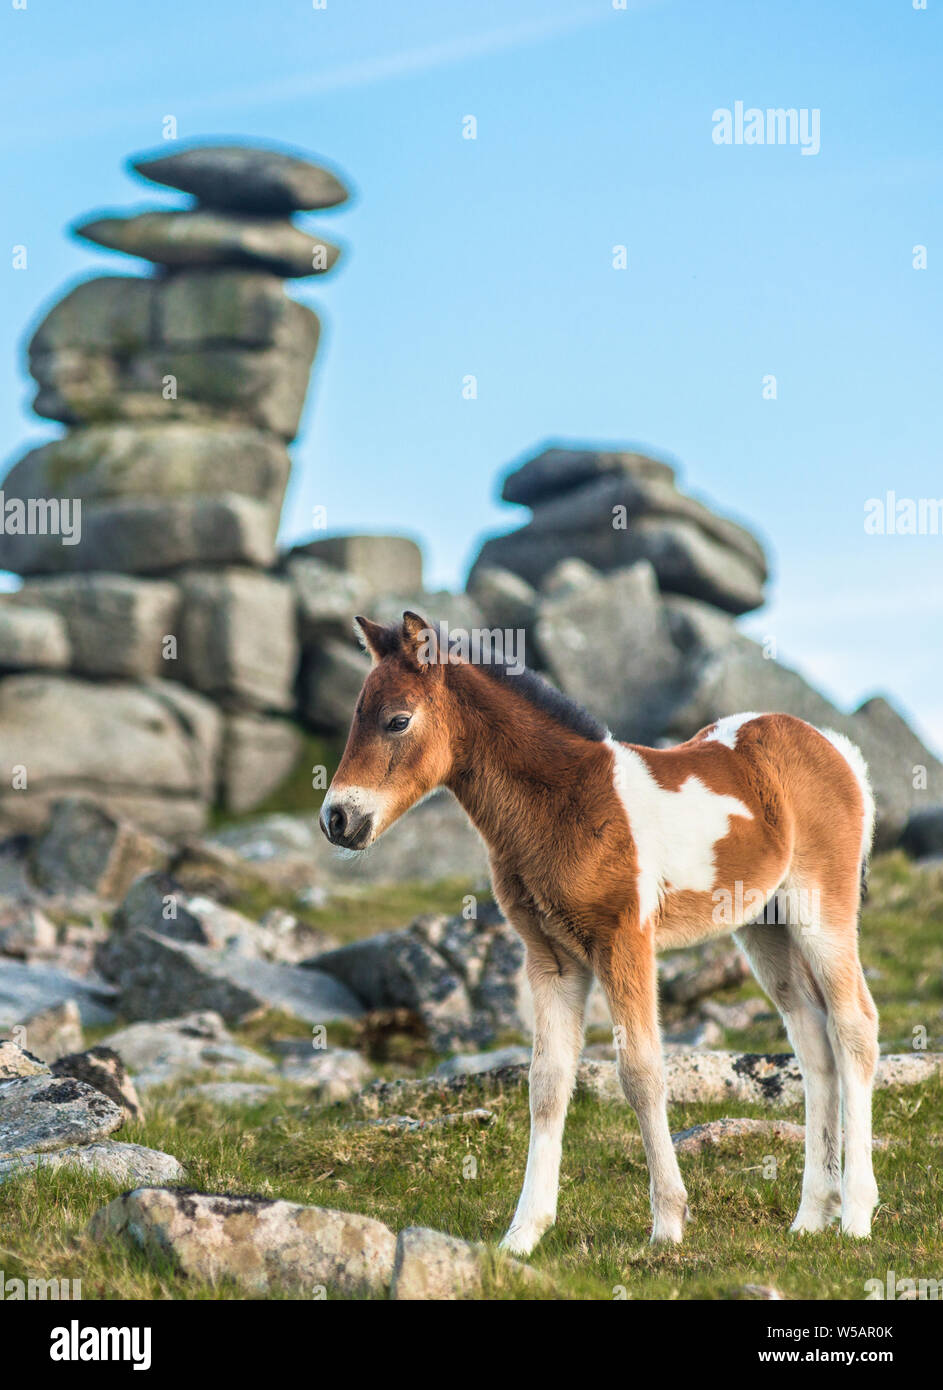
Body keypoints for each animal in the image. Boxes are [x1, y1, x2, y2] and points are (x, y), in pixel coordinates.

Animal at [319, 610, 879, 1256]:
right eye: (356, 715)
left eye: (397, 720)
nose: (337, 819)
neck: (567, 799)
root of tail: (837, 750)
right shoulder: (552, 959)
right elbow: (547, 1083)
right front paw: (523, 1235)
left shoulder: (623, 942)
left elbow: (640, 1073)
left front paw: (668, 1225)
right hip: (765, 929)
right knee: (812, 1042)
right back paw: (810, 1216)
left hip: (821, 910)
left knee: (853, 1027)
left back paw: (856, 1216)